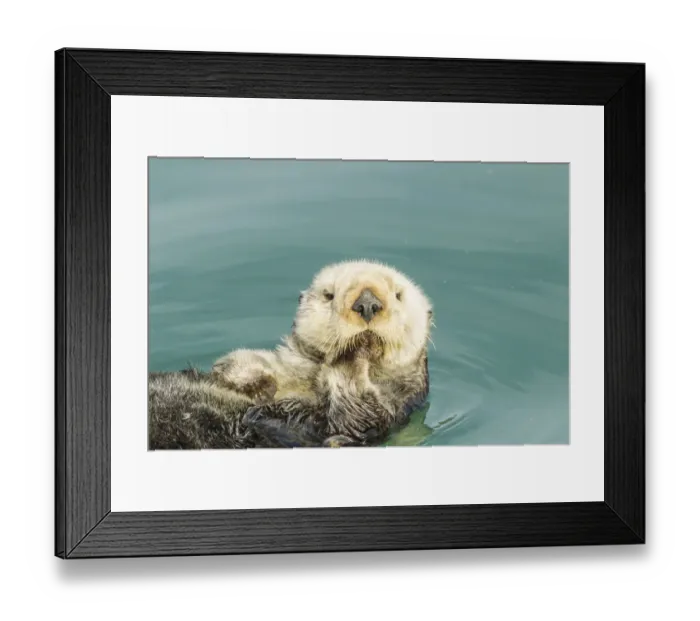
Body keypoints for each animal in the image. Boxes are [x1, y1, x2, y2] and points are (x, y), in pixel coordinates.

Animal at [148, 260, 433, 449]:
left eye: (398, 295)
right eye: (328, 295)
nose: (367, 304)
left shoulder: (387, 411)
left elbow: (354, 414)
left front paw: (355, 353)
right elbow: (246, 364)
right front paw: (254, 380)